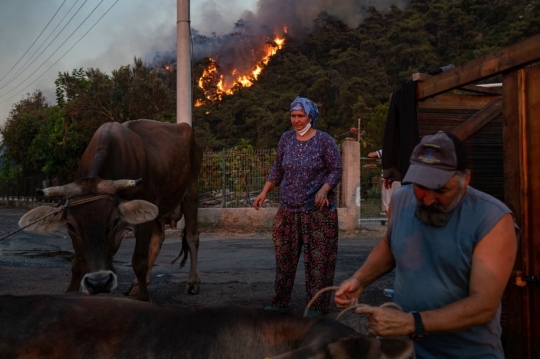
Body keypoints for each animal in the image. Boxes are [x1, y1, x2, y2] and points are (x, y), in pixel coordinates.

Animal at [17, 120, 202, 300]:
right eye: (70, 226)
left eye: (114, 221)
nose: (99, 282)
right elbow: (77, 264)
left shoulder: (141, 219)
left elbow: (139, 262)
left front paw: (143, 297)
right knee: (158, 240)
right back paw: (136, 284)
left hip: (191, 189)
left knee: (191, 236)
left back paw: (192, 282)